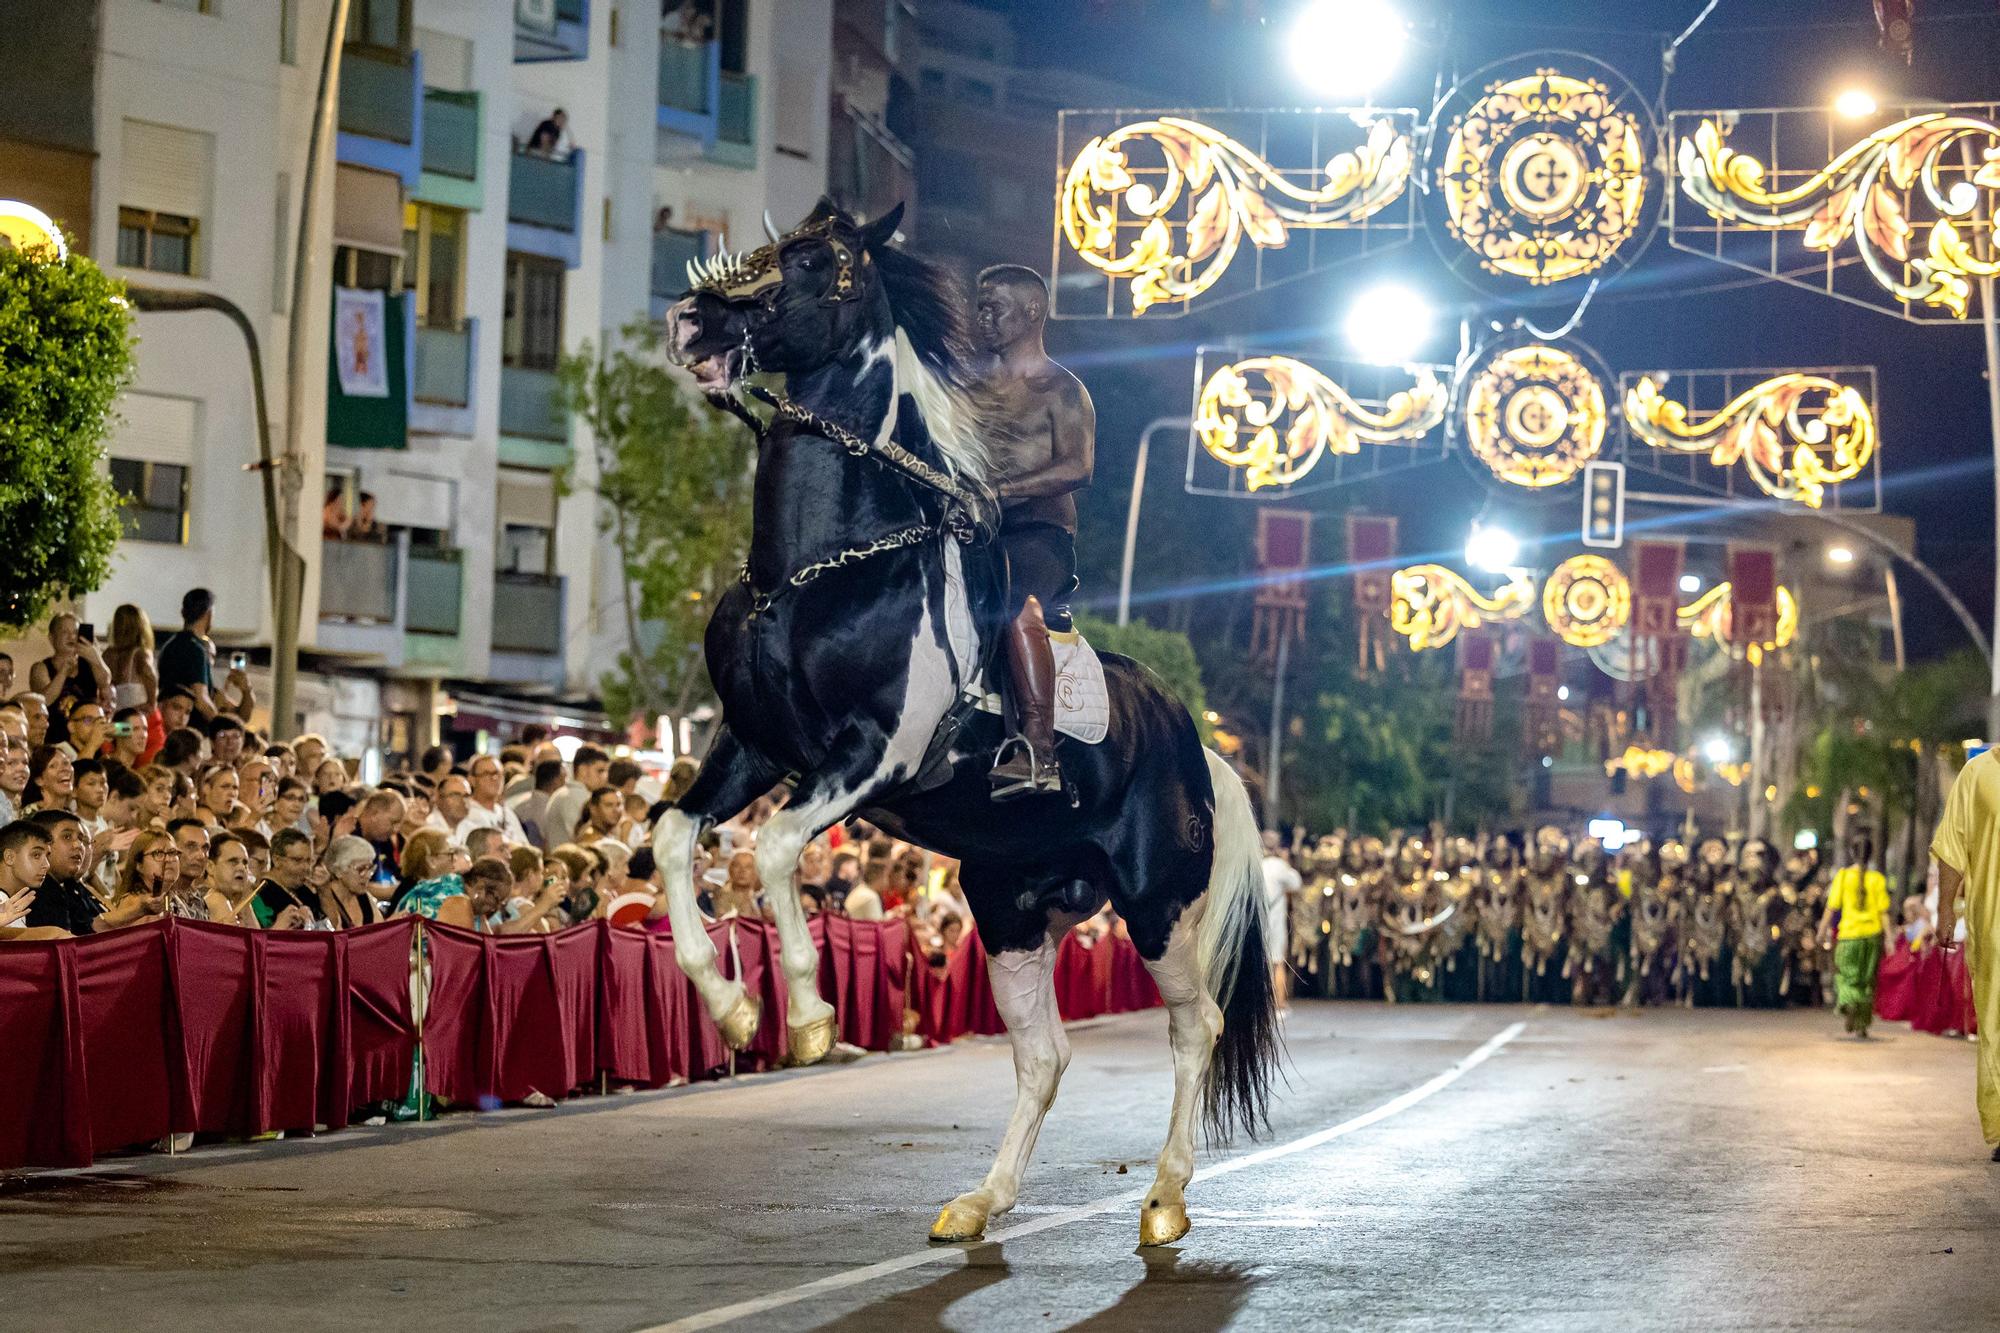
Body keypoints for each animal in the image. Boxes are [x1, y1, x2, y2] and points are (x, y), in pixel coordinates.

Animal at [664, 200, 1272, 1248]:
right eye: (775, 251)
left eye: (823, 267)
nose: (692, 324)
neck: (824, 566)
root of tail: (1197, 745)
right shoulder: (751, 746)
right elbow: (672, 836)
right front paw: (734, 1008)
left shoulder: (875, 755)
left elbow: (775, 848)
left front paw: (809, 1014)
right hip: (1012, 905)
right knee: (1044, 1055)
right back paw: (982, 1200)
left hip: (1158, 904)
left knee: (1196, 1027)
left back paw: (1163, 1197)